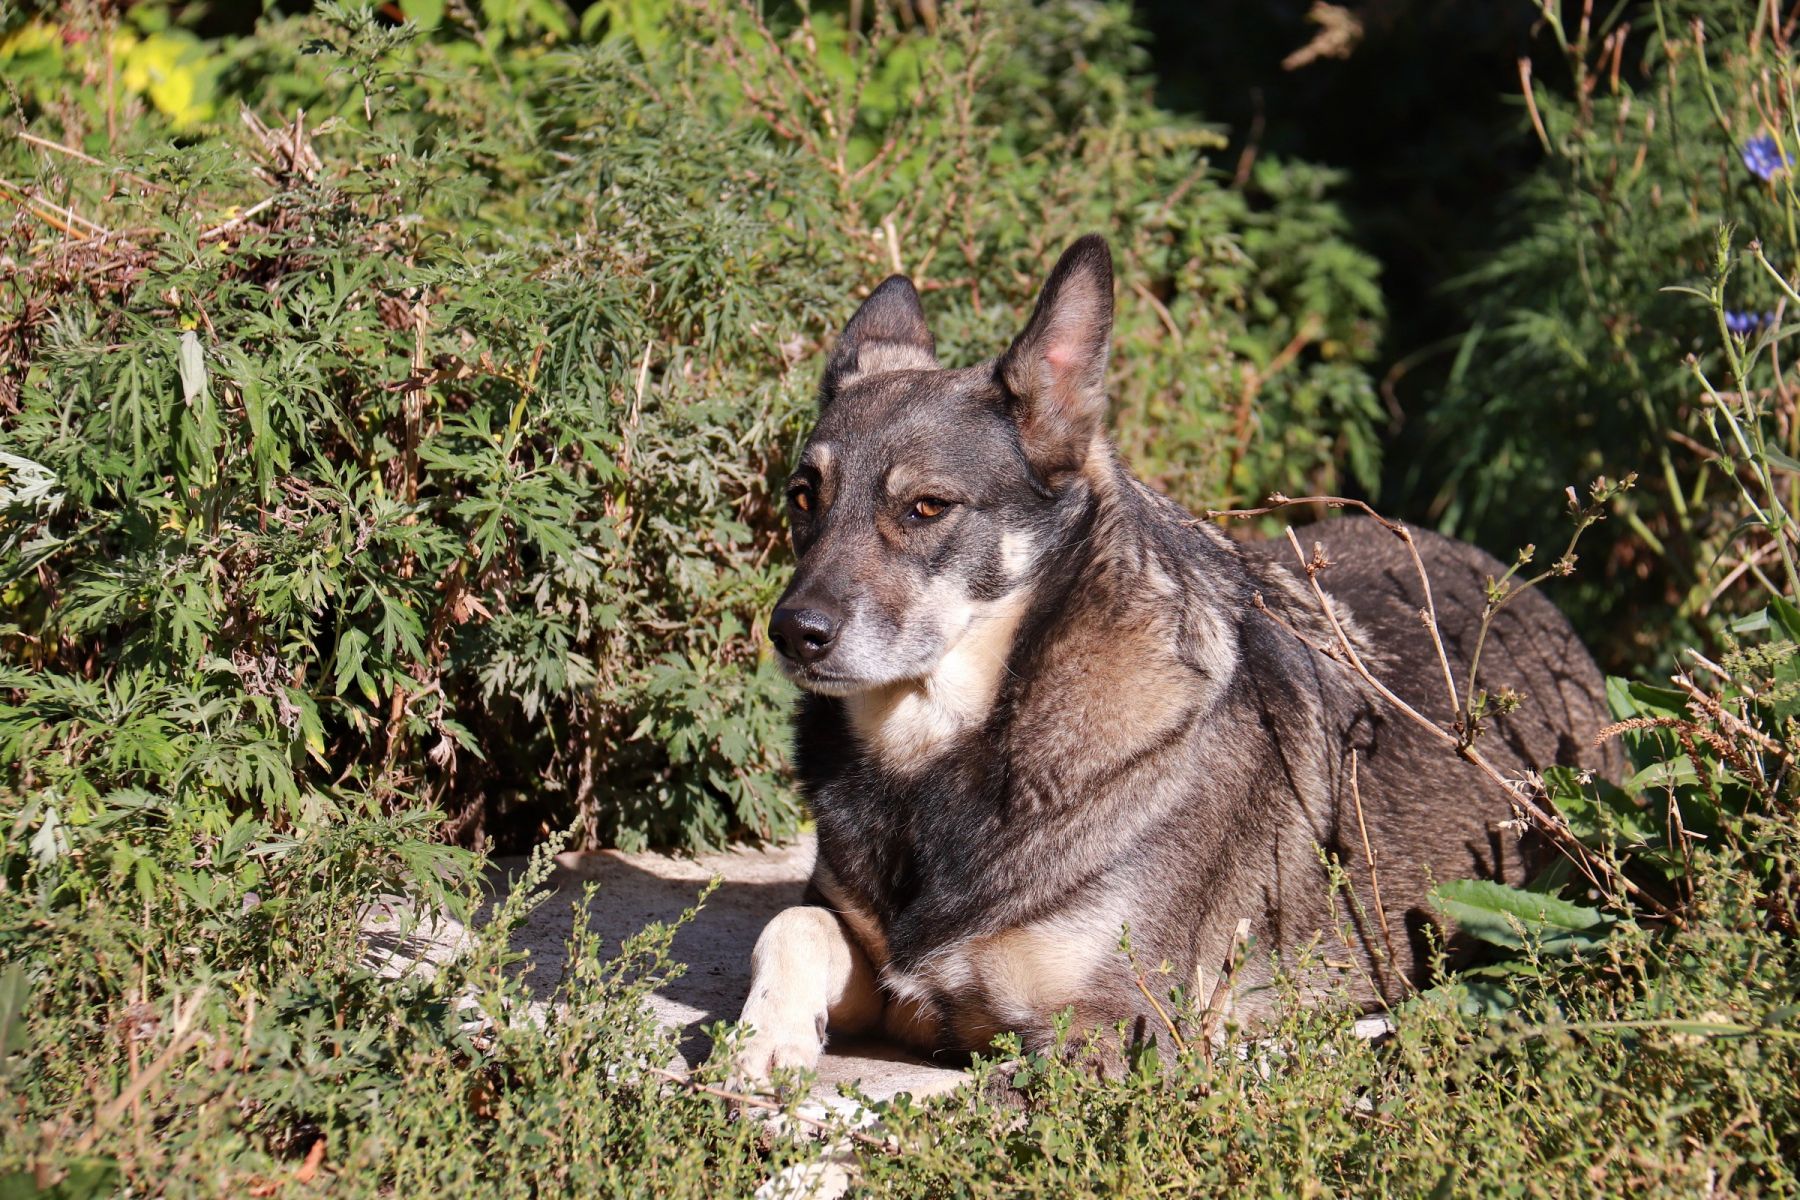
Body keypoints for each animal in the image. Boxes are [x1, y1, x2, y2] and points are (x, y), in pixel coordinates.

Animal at [727, 232, 1620, 1079]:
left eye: (925, 508)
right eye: (803, 498)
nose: (793, 631)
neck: (941, 757)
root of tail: (1536, 601)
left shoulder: (1112, 1028)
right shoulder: (872, 955)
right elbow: (790, 923)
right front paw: (759, 1042)